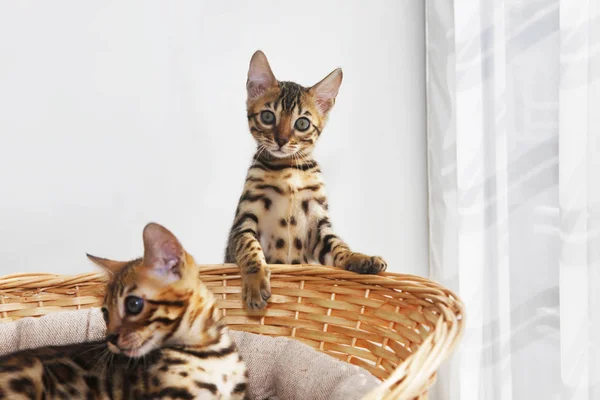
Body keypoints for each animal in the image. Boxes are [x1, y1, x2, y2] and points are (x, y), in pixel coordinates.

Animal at [226, 50, 390, 310]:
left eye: (302, 123)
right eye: (268, 116)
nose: (281, 140)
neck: (288, 170)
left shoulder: (318, 224)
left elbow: (339, 246)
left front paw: (361, 258)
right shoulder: (243, 223)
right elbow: (251, 248)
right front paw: (255, 284)